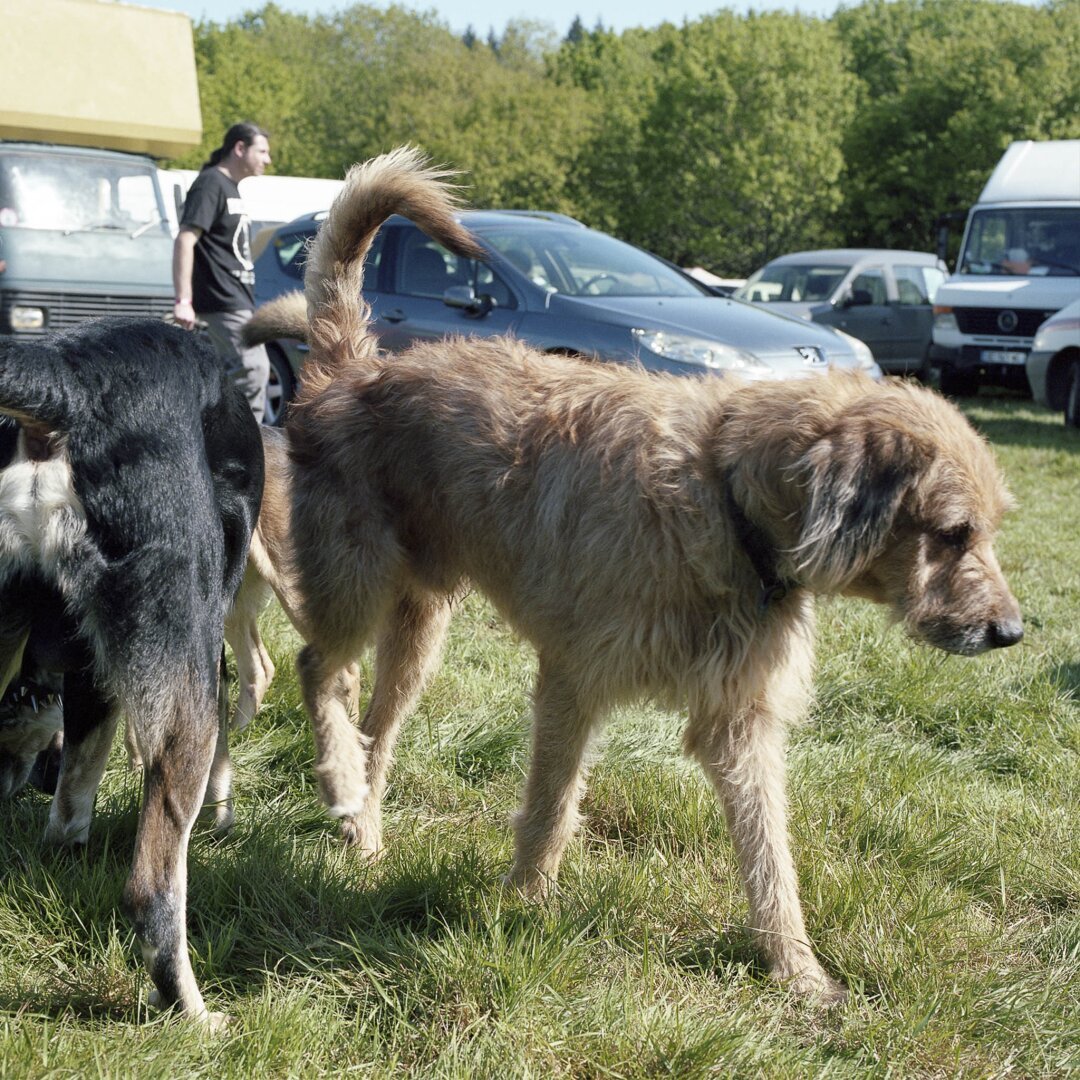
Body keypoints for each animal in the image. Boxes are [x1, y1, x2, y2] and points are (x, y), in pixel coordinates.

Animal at [0, 321, 261, 1028]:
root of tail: (70, 376)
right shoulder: (199, 661)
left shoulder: (89, 677)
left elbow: (70, 805)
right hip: (186, 689)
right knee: (152, 891)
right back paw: (191, 1012)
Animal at [243, 147, 1019, 997]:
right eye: (953, 533)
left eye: (986, 529)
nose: (1012, 632)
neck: (724, 495)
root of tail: (349, 366)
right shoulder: (572, 680)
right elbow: (550, 805)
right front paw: (522, 908)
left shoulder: (738, 719)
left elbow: (770, 857)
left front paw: (799, 973)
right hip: (356, 585)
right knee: (317, 668)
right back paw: (340, 785)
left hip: (419, 627)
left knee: (372, 721)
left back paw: (365, 826)